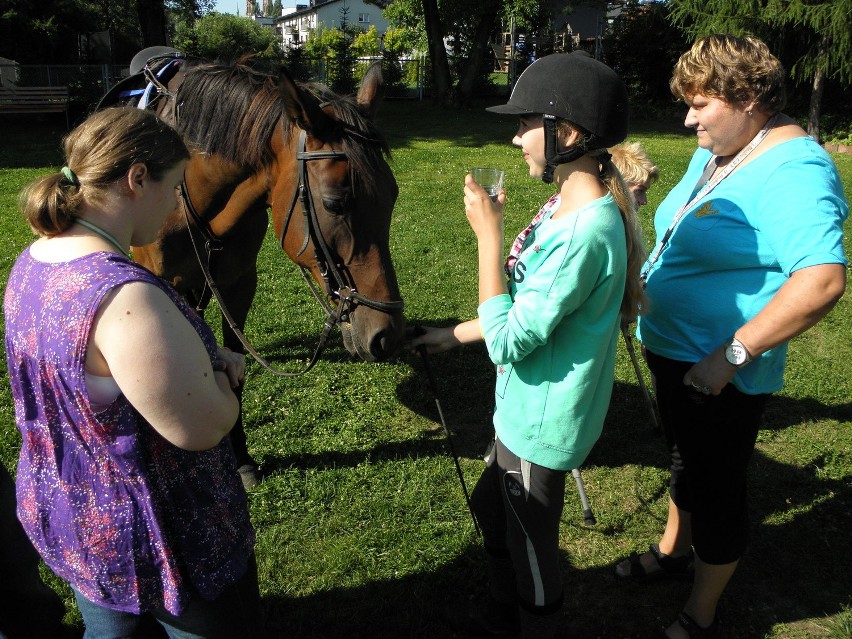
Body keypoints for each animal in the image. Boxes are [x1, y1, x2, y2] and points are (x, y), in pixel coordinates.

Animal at [118, 56, 404, 484]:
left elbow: (234, 377)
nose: (387, 335)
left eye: (392, 196)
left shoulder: (238, 286)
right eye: (334, 203)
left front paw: (240, 458)